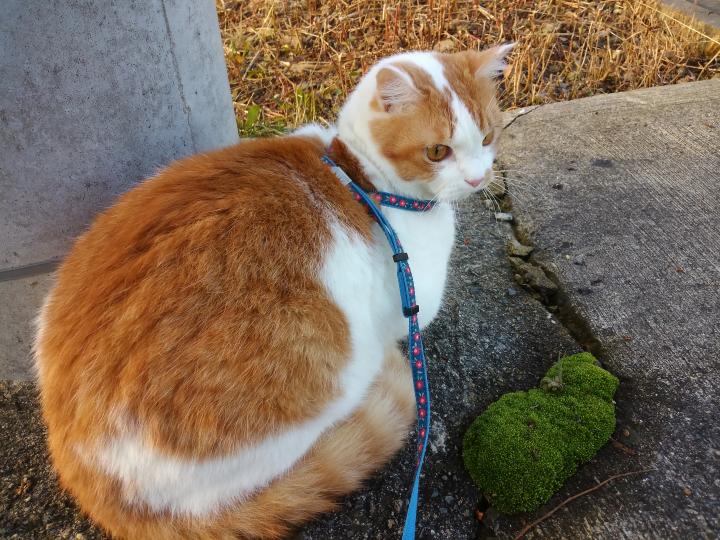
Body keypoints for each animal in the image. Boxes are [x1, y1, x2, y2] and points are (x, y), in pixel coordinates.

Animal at [34, 44, 512, 539]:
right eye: (438, 151)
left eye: (488, 137)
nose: (478, 179)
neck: (363, 180)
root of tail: (93, 486)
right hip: (326, 384)